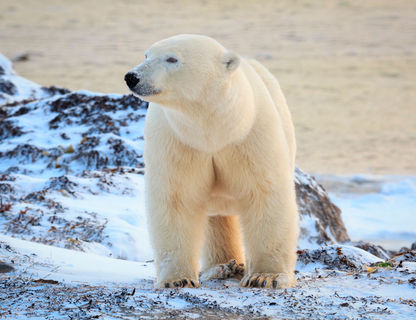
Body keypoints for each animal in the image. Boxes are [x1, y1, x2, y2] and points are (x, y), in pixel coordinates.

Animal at [125, 33, 298, 288]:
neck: (214, 131)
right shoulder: (179, 141)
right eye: (146, 55)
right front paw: (177, 280)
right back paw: (220, 267)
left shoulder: (250, 136)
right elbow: (176, 199)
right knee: (217, 220)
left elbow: (265, 193)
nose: (132, 77)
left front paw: (265, 276)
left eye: (172, 59)